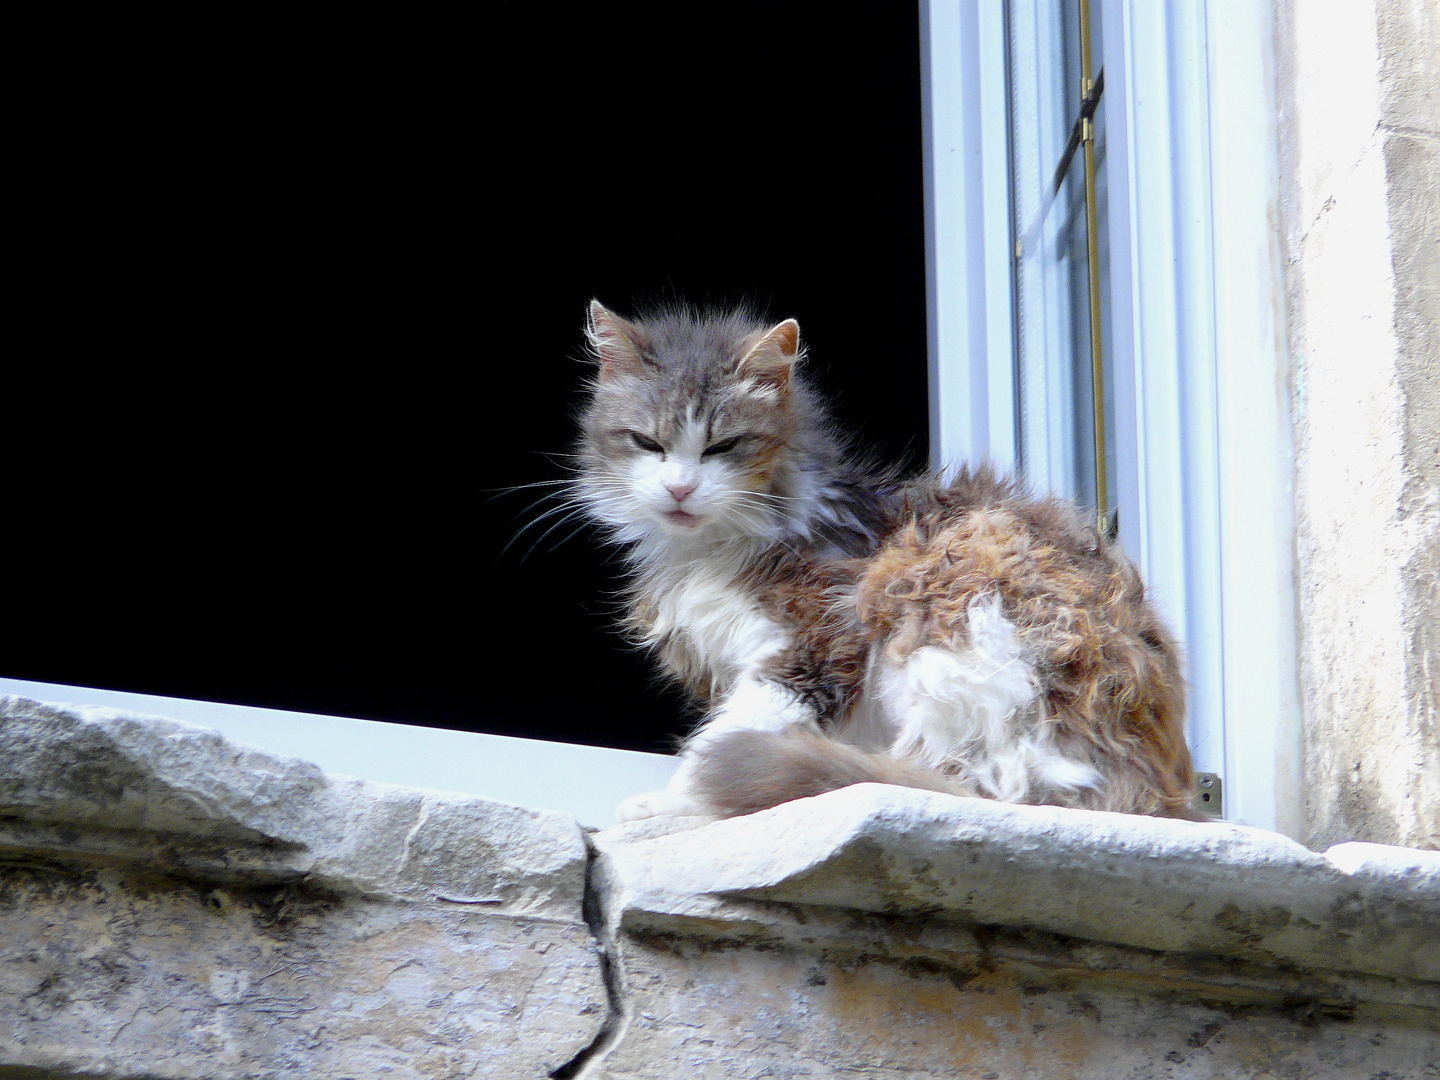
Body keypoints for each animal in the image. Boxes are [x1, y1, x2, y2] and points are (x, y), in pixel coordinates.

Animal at [573, 300, 1192, 823]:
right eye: (647, 443)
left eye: (723, 446)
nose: (679, 489)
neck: (705, 552)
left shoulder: (813, 644)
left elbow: (725, 736)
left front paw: (672, 803)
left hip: (936, 605)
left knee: (989, 787)